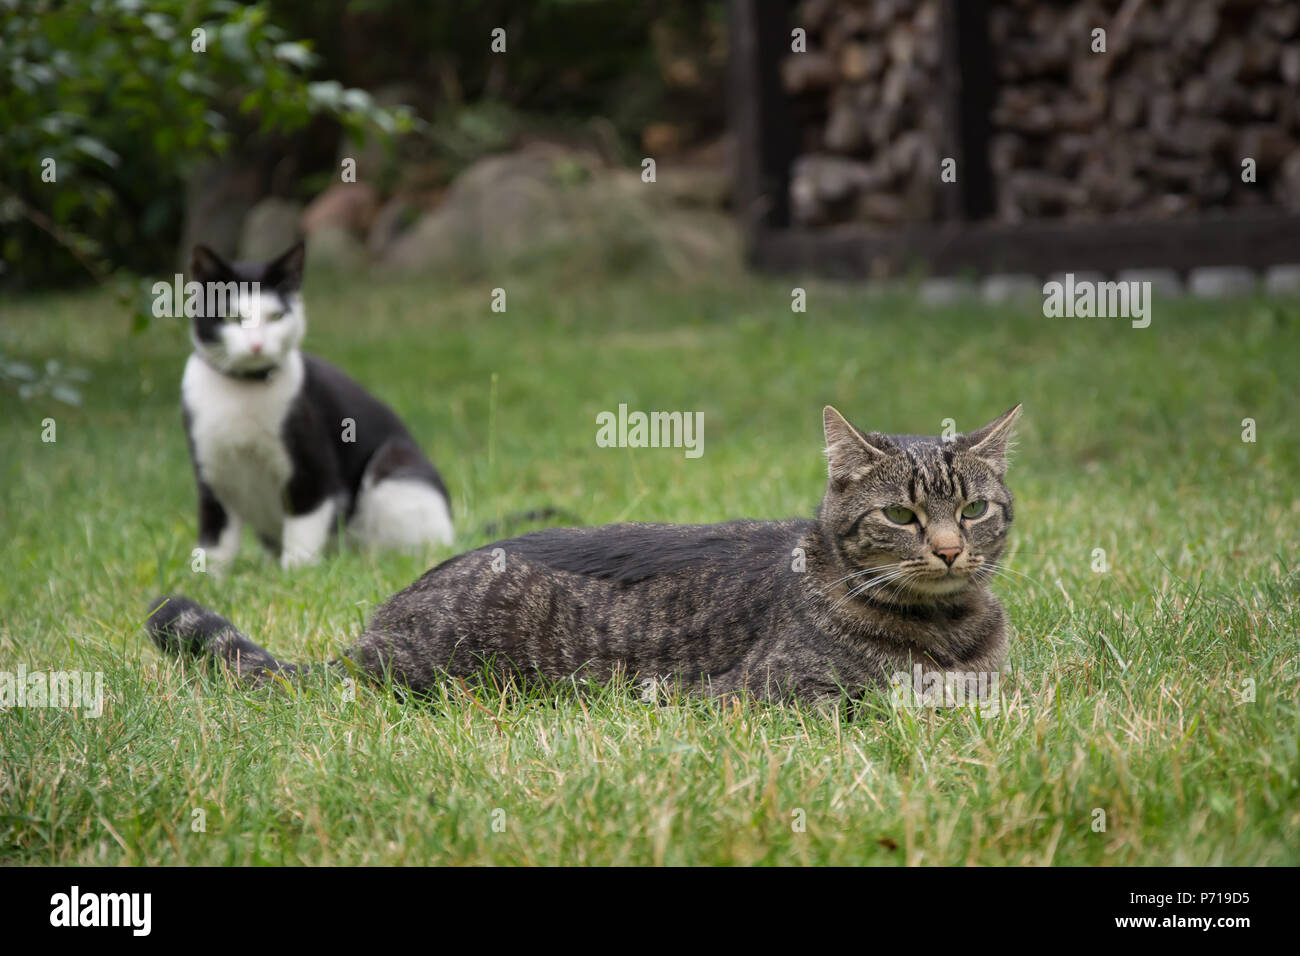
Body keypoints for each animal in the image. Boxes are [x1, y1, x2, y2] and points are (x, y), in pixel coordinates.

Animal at [147, 403, 1019, 702]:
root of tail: (368, 632)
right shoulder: (773, 694)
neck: (945, 627)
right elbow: (876, 698)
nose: (949, 551)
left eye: (973, 510)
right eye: (902, 515)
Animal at [178, 239, 452, 572]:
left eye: (275, 317)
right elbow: (214, 543)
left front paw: (295, 573)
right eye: (233, 318)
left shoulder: (313, 471)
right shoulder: (212, 477)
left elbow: (302, 532)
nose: (256, 345)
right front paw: (206, 577)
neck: (243, 392)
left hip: (394, 467)